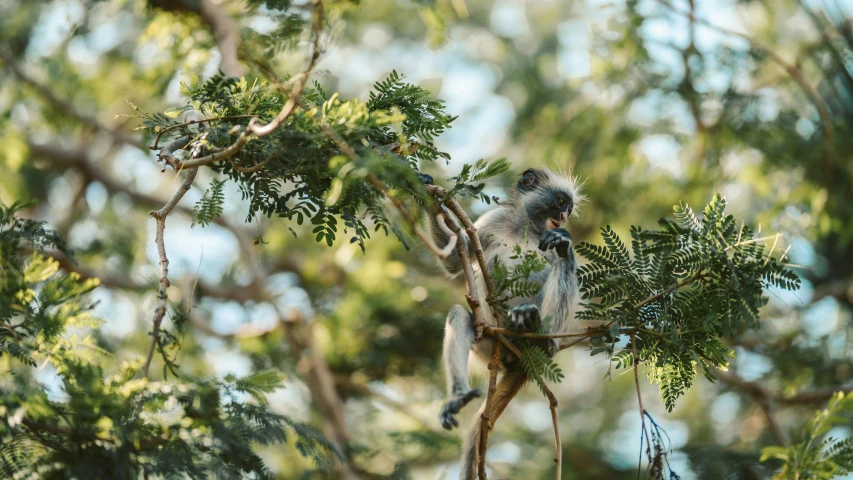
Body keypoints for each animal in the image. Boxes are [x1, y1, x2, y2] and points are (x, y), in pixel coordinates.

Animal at [430, 167, 584, 478]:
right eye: (560, 201)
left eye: (569, 208)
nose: (563, 217)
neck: (526, 226)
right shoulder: (496, 219)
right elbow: (454, 261)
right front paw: (431, 200)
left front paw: (564, 244)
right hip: (489, 344)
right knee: (460, 316)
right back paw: (458, 397)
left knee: (561, 268)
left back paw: (541, 335)